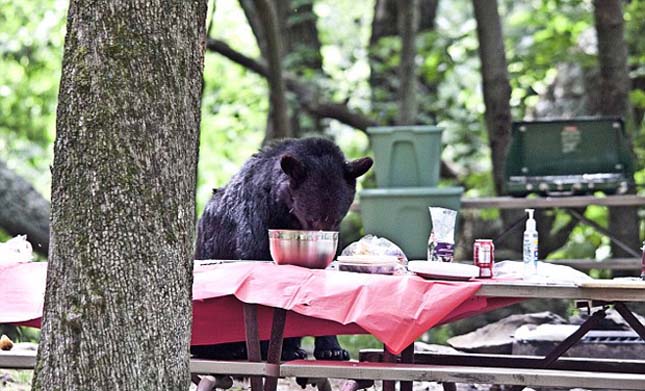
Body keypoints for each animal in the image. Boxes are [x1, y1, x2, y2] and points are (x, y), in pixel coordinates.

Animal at [191, 137, 372, 362]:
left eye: (336, 219)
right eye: (312, 218)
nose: (321, 243)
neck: (284, 211)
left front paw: (333, 349)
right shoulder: (259, 220)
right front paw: (283, 348)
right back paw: (232, 349)